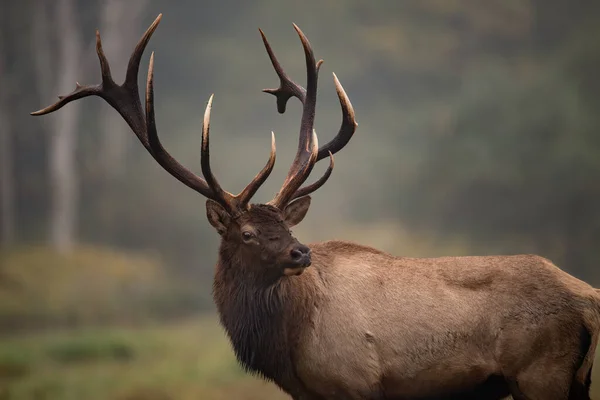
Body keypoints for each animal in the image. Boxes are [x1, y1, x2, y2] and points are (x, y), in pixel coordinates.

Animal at [34, 12, 600, 400]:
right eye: (246, 233)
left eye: (284, 225)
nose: (300, 253)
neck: (287, 344)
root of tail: (587, 299)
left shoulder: (354, 383)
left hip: (540, 374)